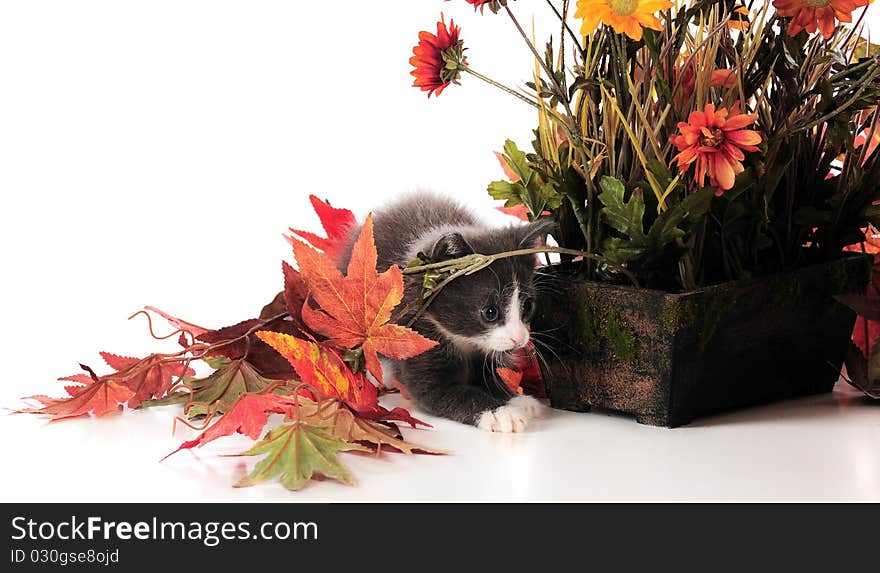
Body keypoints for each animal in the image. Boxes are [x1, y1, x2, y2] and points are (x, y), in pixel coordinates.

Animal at [336, 192, 552, 434]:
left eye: (527, 306)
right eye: (490, 312)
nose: (519, 339)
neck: (465, 340)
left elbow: (490, 377)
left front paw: (516, 399)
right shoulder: (419, 334)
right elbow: (444, 392)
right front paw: (501, 413)